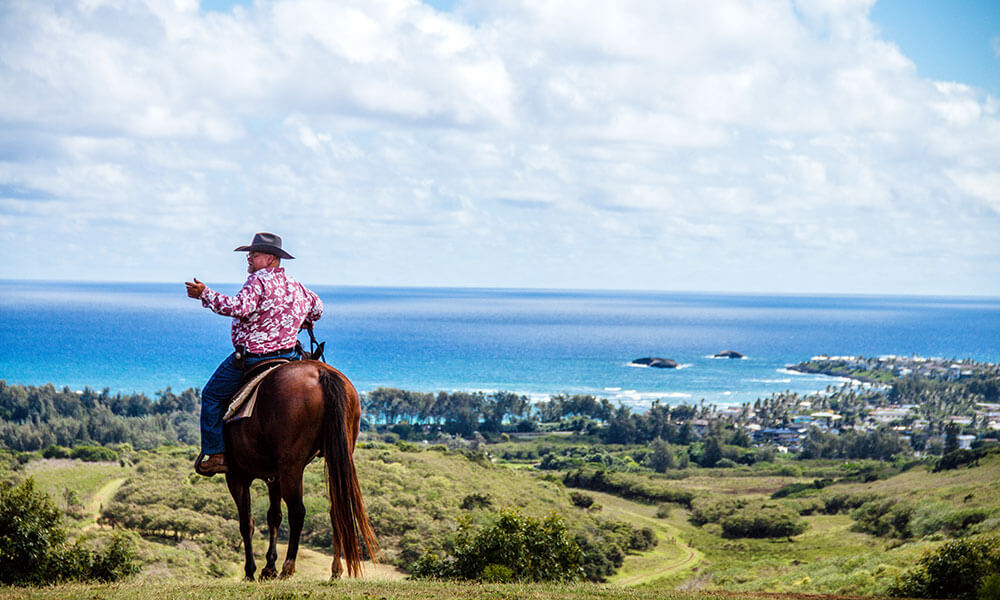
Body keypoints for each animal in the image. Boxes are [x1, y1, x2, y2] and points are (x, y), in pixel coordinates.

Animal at [224, 358, 378, 580]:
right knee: (336, 509)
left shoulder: (237, 475)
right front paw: (268, 567)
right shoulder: (274, 476)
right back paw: (335, 570)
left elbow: (247, 522)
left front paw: (250, 572)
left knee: (297, 511)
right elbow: (274, 516)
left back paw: (288, 567)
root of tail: (322, 372)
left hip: (291, 463)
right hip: (336, 453)